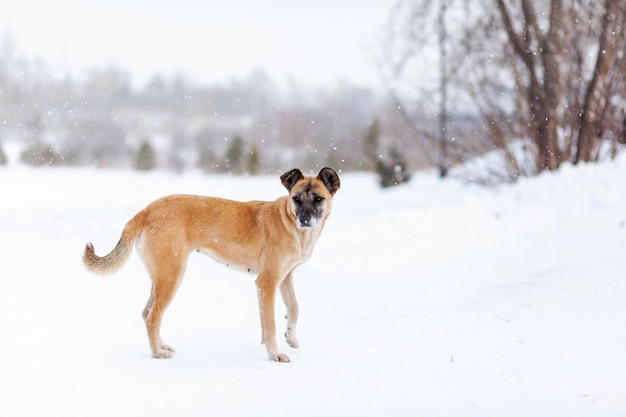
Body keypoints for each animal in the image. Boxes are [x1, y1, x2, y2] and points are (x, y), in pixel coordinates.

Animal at [83, 166, 338, 360]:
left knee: (147, 313)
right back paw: (157, 353)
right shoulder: (267, 282)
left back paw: (162, 346)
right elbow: (270, 324)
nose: (305, 220)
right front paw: (275, 354)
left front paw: (291, 338)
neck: (289, 222)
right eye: (296, 199)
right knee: (153, 317)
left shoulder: (284, 277)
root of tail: (145, 211)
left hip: (162, 276)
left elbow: (294, 308)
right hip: (172, 275)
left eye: (318, 199)